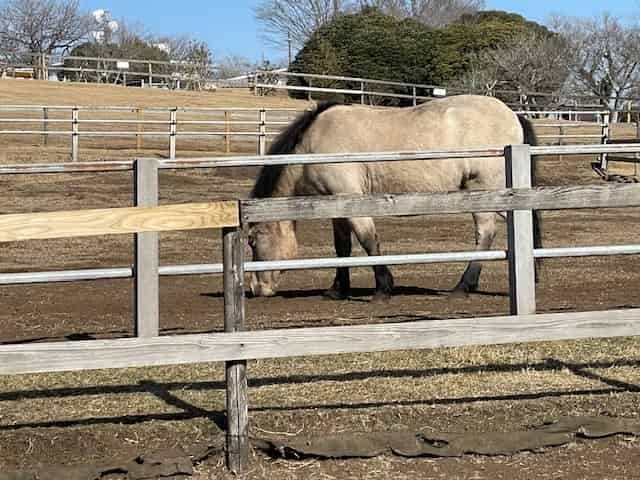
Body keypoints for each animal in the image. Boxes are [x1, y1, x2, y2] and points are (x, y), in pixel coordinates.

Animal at [247, 95, 541, 299]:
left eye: (252, 242)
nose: (255, 289)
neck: (314, 143)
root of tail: (514, 115)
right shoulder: (337, 206)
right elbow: (342, 247)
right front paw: (338, 290)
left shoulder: (351, 199)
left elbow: (368, 241)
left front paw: (383, 288)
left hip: (485, 193)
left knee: (485, 234)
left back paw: (462, 287)